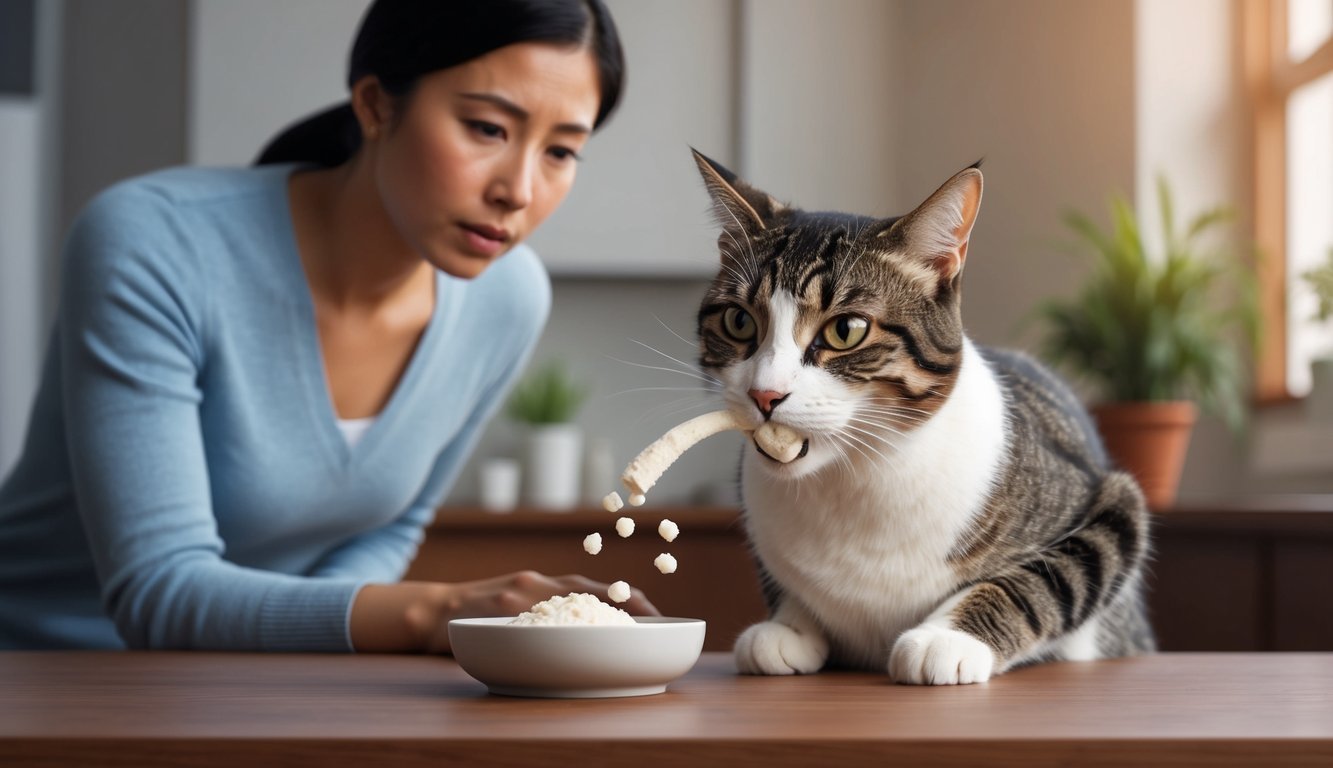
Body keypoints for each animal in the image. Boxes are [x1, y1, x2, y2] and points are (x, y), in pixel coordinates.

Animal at [693, 148, 1151, 682]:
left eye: (845, 330)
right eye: (739, 321)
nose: (765, 393)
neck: (854, 475)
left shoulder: (1110, 502)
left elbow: (1047, 579)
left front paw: (948, 638)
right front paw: (788, 629)